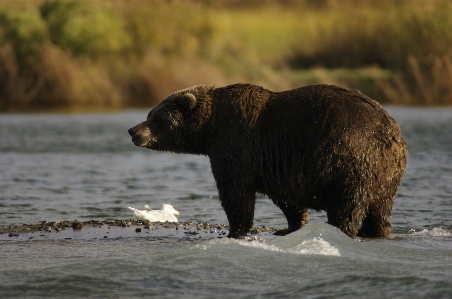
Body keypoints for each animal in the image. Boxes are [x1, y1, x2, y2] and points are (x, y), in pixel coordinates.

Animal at [129, 84, 408, 239]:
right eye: (149, 114)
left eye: (155, 118)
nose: (133, 130)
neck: (209, 128)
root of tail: (391, 132)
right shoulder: (276, 163)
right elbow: (286, 198)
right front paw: (290, 226)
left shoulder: (236, 147)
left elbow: (236, 193)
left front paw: (234, 230)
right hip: (385, 173)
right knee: (380, 207)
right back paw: (376, 230)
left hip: (351, 158)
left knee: (346, 204)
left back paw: (343, 229)